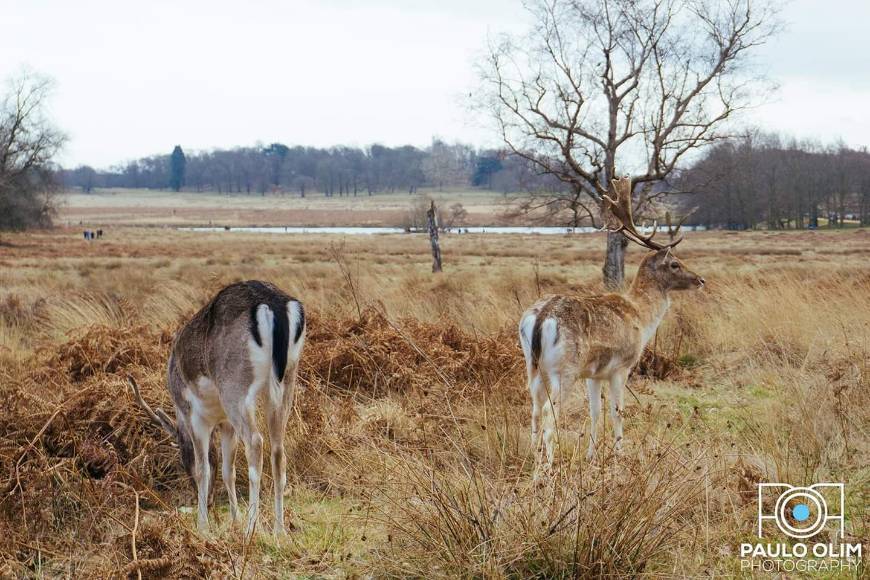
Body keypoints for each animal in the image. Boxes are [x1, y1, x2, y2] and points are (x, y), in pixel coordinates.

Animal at [129, 280, 306, 536]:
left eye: (183, 460)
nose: (211, 502)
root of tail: (273, 304)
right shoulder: (226, 424)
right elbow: (226, 470)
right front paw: (234, 519)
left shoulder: (194, 416)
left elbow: (204, 469)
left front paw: (203, 526)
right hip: (287, 380)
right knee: (278, 450)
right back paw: (279, 530)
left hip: (235, 389)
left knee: (255, 442)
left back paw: (251, 529)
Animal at [520, 177, 704, 466]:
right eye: (674, 263)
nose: (700, 280)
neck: (641, 315)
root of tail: (540, 317)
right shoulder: (621, 367)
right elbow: (618, 410)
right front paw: (619, 454)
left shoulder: (594, 374)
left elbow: (595, 411)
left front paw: (591, 455)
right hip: (565, 369)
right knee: (551, 412)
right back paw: (550, 465)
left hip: (532, 366)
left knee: (535, 410)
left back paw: (534, 458)